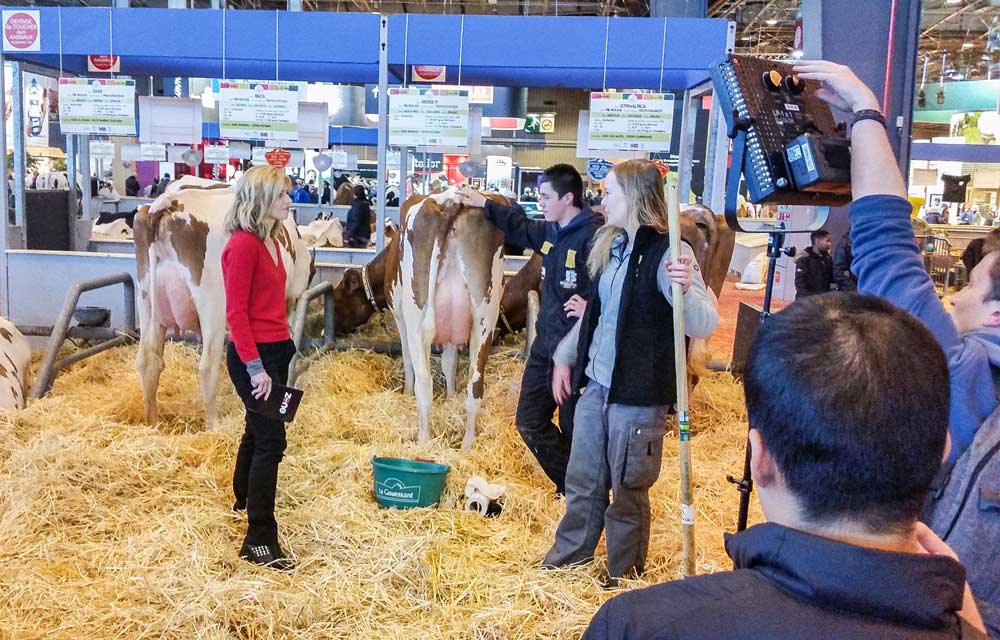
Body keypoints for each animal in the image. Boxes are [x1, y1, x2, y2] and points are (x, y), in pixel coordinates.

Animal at [134, 176, 312, 424]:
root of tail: (167, 204)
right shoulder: (292, 297)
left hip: (146, 300)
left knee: (147, 361)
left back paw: (153, 422)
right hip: (213, 307)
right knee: (207, 367)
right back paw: (214, 424)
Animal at [384, 190, 504, 450]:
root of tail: (450, 199)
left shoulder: (400, 318)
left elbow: (407, 360)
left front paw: (406, 392)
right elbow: (449, 363)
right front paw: (450, 397)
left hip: (415, 314)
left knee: (424, 384)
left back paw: (423, 440)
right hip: (485, 314)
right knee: (475, 385)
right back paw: (467, 444)